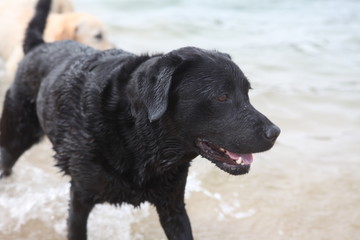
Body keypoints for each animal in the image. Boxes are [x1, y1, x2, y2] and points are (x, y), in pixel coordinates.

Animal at [0, 0, 282, 240]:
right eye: (222, 96)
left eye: (247, 94)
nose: (275, 132)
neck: (137, 135)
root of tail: (38, 45)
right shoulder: (79, 197)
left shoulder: (173, 206)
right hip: (13, 138)